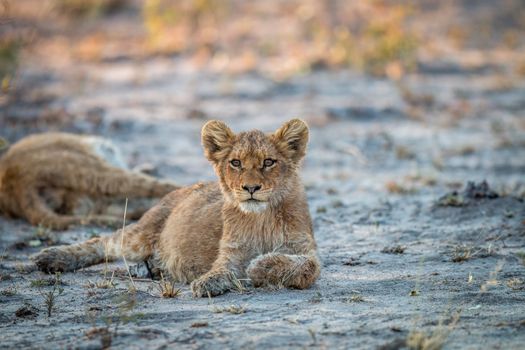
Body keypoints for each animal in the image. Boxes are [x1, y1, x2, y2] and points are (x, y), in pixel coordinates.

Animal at [34, 119, 320, 296]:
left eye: (269, 162)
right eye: (236, 163)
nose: (251, 188)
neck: (260, 218)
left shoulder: (305, 249)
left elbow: (304, 266)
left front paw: (260, 267)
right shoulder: (231, 253)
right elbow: (221, 269)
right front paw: (208, 282)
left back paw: (148, 269)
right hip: (142, 233)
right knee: (103, 242)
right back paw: (52, 257)